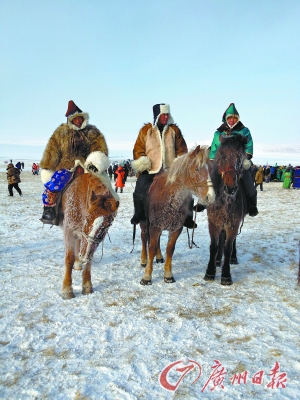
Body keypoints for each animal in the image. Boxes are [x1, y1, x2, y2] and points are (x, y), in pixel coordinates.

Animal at [58, 170, 119, 298]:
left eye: (106, 226)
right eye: (87, 218)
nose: (84, 255)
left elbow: (89, 260)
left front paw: (87, 286)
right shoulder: (69, 232)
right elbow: (69, 258)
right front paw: (67, 289)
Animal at [139, 145, 214, 286]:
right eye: (197, 169)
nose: (210, 197)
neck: (170, 200)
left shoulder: (176, 229)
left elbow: (170, 249)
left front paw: (168, 274)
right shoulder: (155, 227)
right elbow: (151, 248)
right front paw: (147, 276)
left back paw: (159, 257)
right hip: (145, 224)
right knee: (144, 237)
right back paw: (143, 260)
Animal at [204, 134, 248, 284]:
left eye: (240, 158)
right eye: (222, 156)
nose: (230, 187)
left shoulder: (233, 224)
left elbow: (228, 247)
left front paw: (226, 275)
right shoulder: (213, 223)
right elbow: (214, 246)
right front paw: (210, 271)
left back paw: (233, 258)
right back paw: (218, 260)